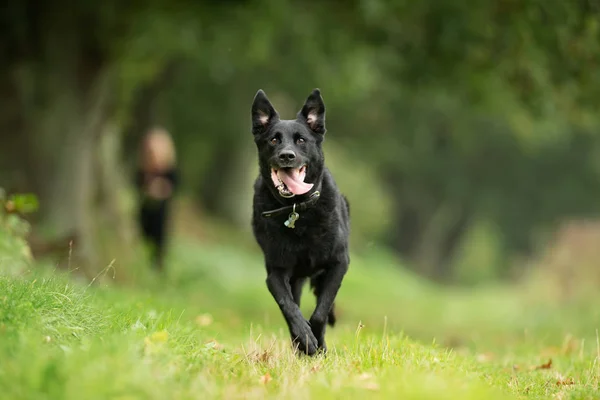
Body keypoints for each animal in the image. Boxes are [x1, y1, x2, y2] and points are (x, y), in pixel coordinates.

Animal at [250, 89, 352, 354]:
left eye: (301, 140)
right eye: (273, 140)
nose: (287, 156)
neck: (298, 209)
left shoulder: (338, 264)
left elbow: (320, 312)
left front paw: (317, 342)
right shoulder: (276, 272)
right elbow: (288, 306)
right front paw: (305, 339)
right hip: (294, 279)